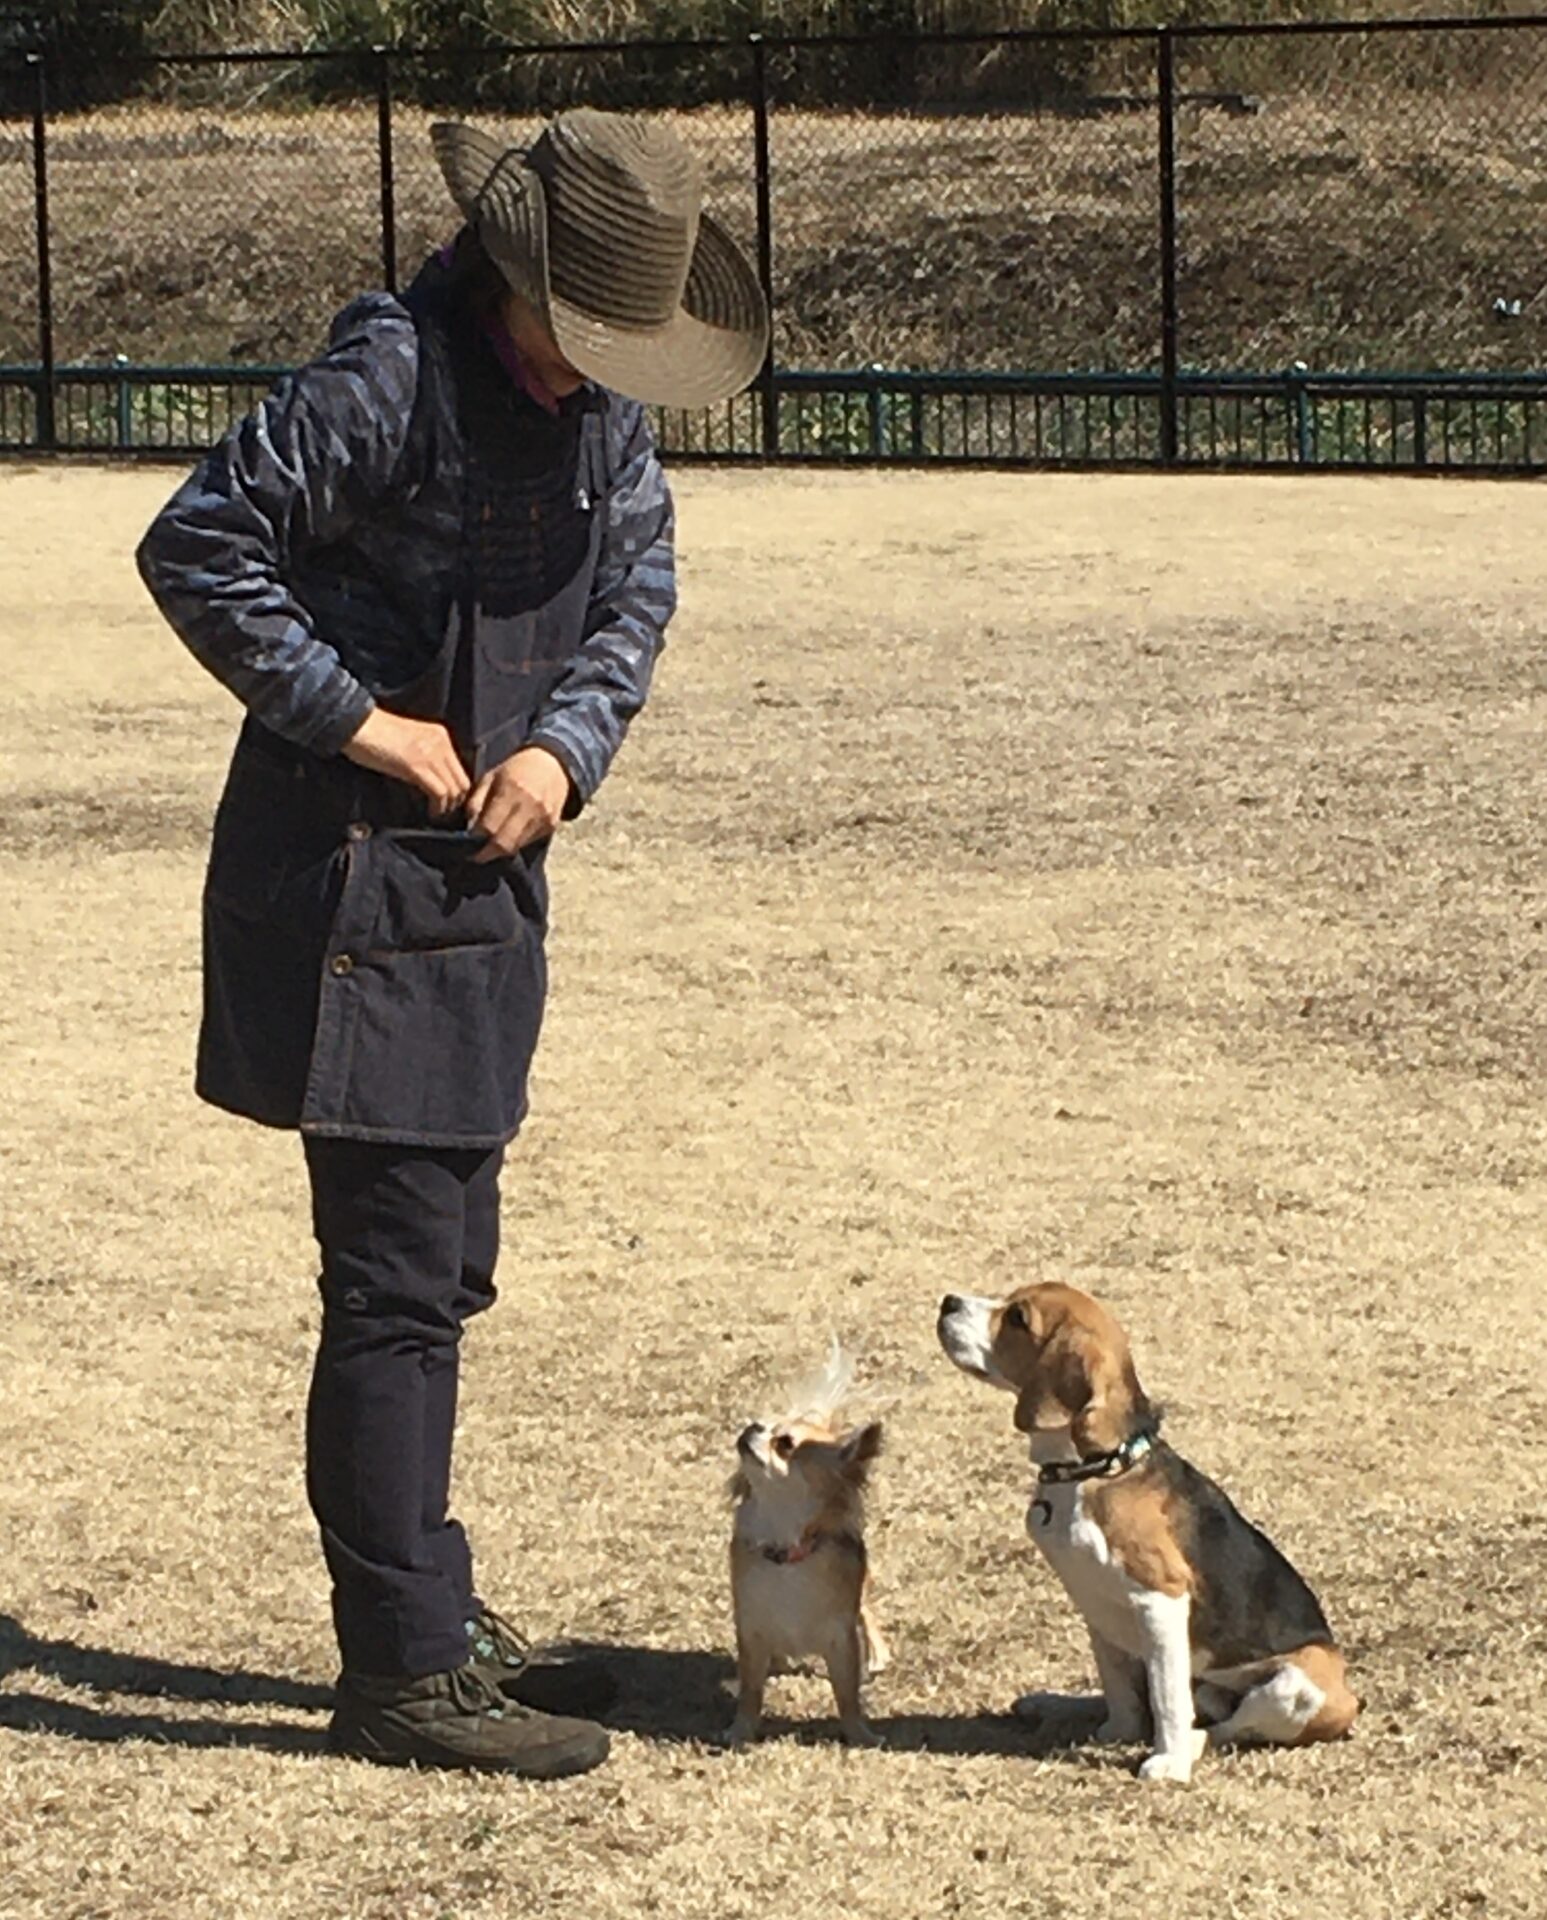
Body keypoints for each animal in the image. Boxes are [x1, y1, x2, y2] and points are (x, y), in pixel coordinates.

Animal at [726, 1345, 889, 1747]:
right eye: (764, 1425)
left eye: (784, 1444)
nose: (753, 1426)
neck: (787, 1553)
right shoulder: (751, 1630)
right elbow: (751, 1691)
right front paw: (741, 1730)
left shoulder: (841, 1639)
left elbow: (847, 1694)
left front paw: (860, 1734)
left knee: (867, 1609)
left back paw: (878, 1653)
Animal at [938, 1283, 1359, 1783]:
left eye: (1018, 1318)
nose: (948, 1302)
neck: (1098, 1467)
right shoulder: (1097, 1607)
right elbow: (1118, 1688)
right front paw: (1114, 1732)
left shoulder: (1160, 1599)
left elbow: (1166, 1698)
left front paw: (1170, 1760)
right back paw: (1052, 1704)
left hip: (1299, 1684)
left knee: (1225, 1725)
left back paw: (1188, 1745)